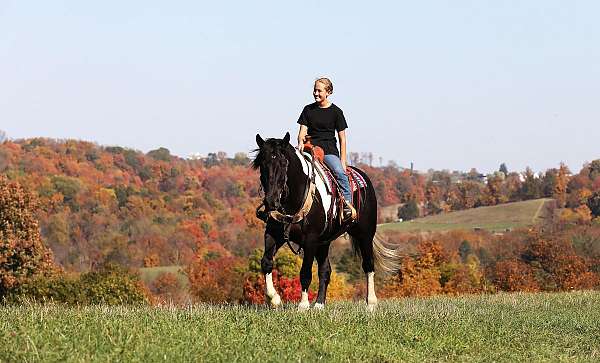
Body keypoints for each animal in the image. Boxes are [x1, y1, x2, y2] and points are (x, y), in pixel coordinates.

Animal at [252, 132, 398, 312]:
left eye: (284, 163)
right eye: (262, 164)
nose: (271, 201)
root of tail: (364, 179)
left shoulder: (310, 240)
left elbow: (305, 272)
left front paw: (303, 305)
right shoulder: (274, 234)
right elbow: (266, 262)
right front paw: (274, 299)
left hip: (365, 235)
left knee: (368, 265)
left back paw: (371, 303)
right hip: (324, 242)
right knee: (325, 270)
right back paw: (319, 304)